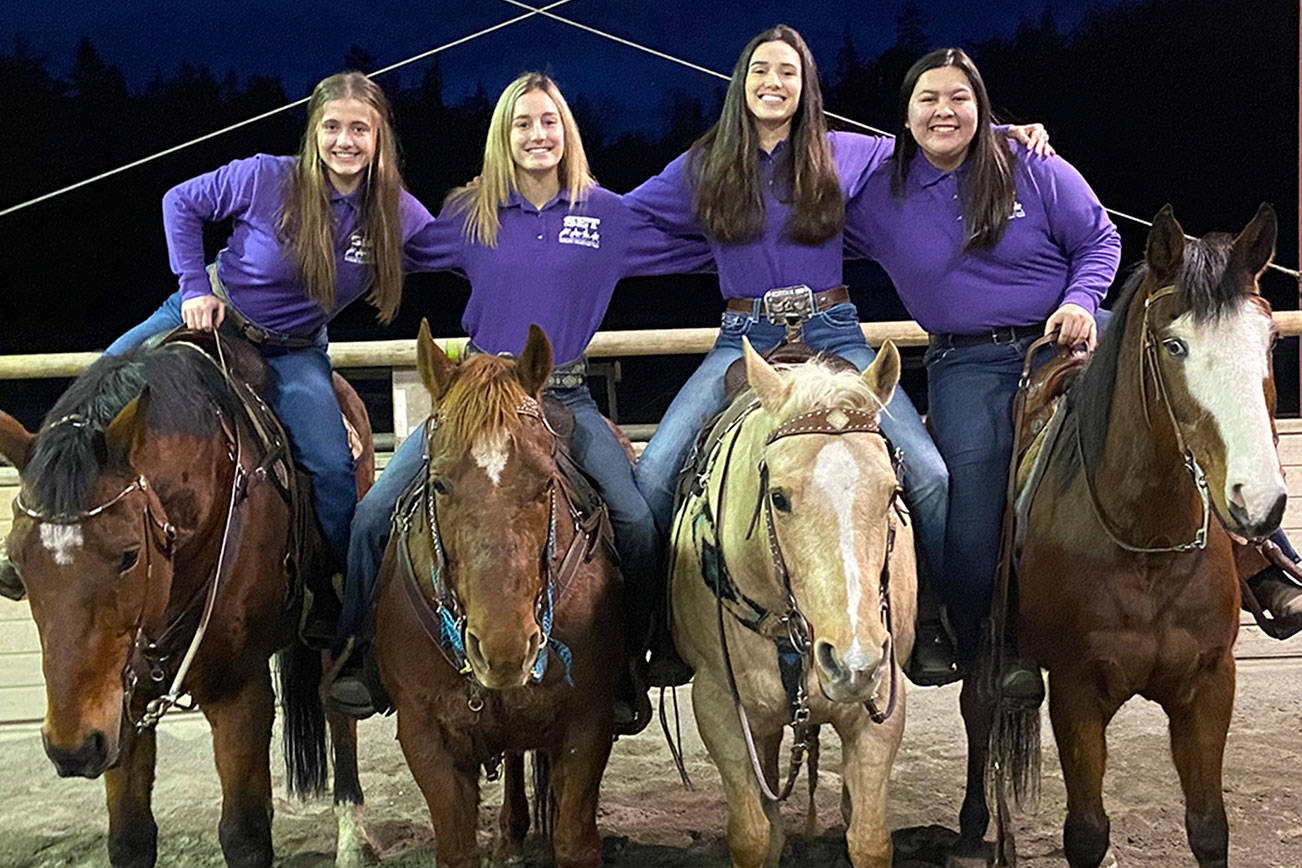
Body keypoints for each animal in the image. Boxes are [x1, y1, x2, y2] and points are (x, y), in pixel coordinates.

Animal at [0, 335, 374, 868]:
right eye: (18, 558)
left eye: (129, 555)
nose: (72, 749)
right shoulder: (122, 702)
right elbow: (130, 838)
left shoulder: (239, 690)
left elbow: (244, 835)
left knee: (340, 717)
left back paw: (351, 838)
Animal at [374, 321, 622, 868]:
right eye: (439, 484)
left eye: (546, 481)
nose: (504, 648)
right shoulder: (425, 738)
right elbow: (456, 848)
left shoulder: (587, 726)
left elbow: (575, 841)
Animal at [671, 340, 916, 868]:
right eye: (779, 497)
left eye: (892, 492)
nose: (853, 662)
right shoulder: (718, 706)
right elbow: (752, 835)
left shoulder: (884, 705)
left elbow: (869, 838)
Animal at [958, 205, 1281, 868]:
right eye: (1174, 344)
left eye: (1270, 340)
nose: (1257, 500)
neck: (1148, 545)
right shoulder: (1077, 694)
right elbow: (1086, 832)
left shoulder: (1210, 687)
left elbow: (1209, 827)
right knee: (978, 709)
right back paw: (973, 826)